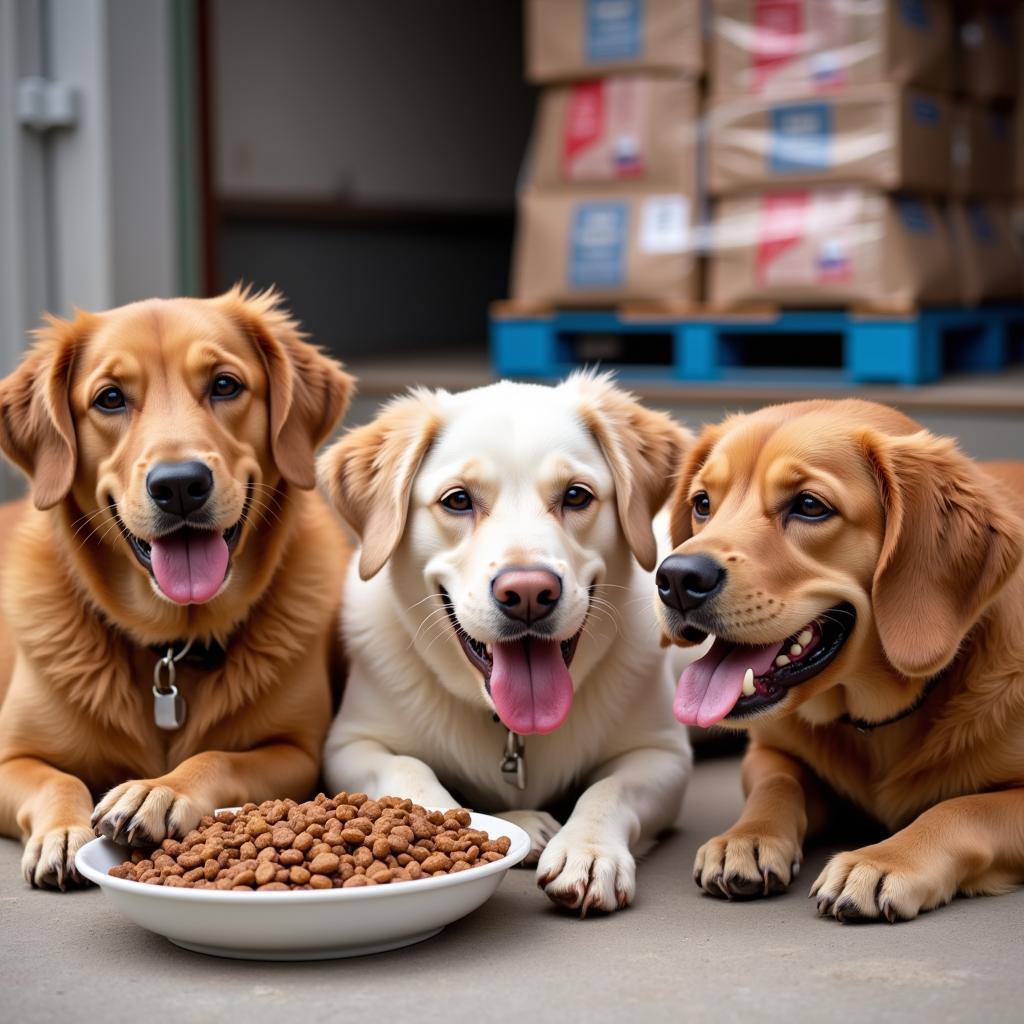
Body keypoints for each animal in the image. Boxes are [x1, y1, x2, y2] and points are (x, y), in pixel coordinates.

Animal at [0, 288, 352, 888]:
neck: (171, 645)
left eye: (225, 385)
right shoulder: (8, 758)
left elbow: (218, 757)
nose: (180, 484)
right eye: (110, 398)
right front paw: (64, 832)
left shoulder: (297, 752)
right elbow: (57, 778)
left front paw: (158, 790)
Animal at [317, 374, 696, 913]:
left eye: (576, 496)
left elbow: (609, 790)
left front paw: (588, 849)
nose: (529, 594)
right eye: (458, 500)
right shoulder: (350, 744)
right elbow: (410, 771)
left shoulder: (663, 754)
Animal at [655, 397, 1024, 921]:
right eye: (703, 503)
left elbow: (964, 809)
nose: (676, 578)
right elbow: (777, 784)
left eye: (810, 506)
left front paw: (885, 859)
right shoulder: (770, 752)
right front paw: (747, 836)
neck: (875, 724)